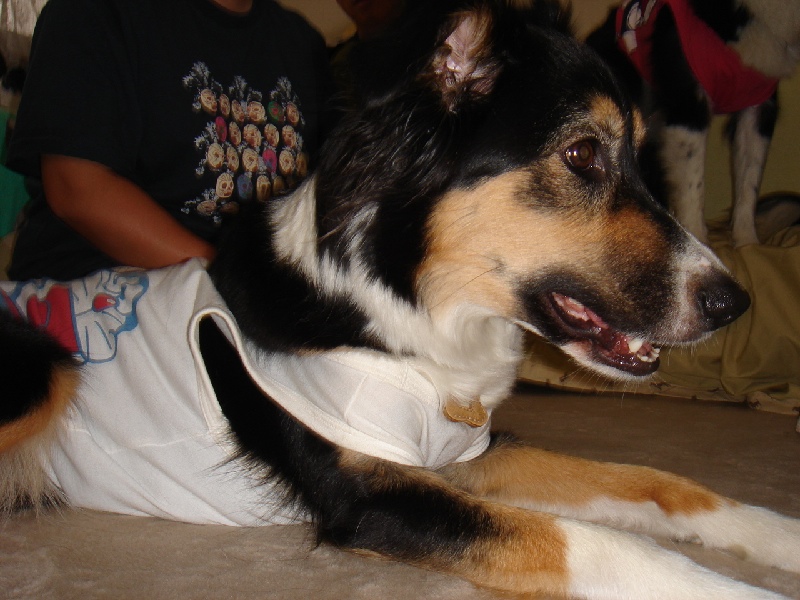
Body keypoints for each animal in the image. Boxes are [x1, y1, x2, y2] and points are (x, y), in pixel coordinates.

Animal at [587, 0, 800, 247]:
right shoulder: (688, 105)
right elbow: (692, 184)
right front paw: (698, 237)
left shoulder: (759, 104)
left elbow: (750, 179)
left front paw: (748, 243)